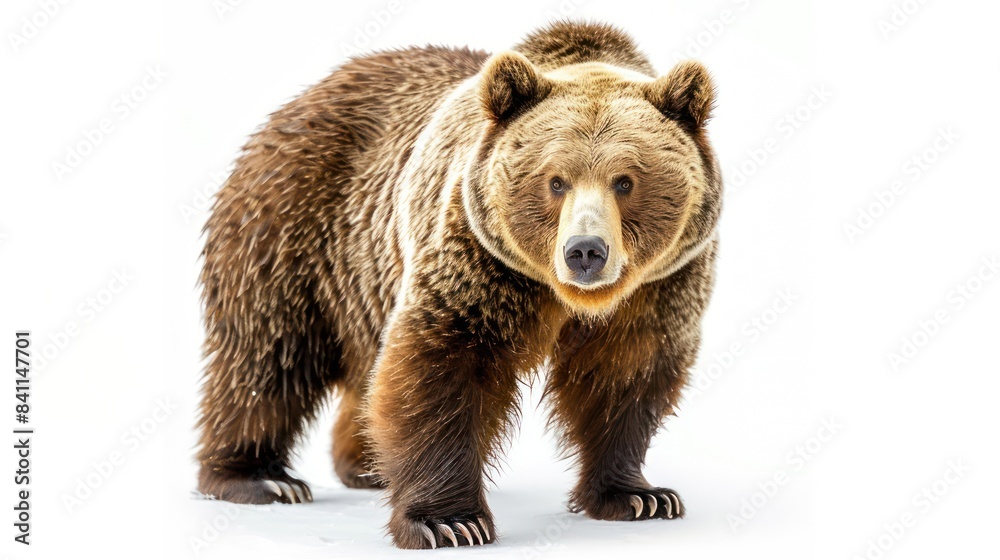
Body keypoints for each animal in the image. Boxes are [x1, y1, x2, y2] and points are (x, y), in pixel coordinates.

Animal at [196, 20, 722, 549]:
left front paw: (639, 496)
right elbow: (441, 365)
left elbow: (626, 373)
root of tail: (307, 96)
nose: (586, 252)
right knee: (267, 354)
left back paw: (365, 464)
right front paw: (448, 522)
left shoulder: (659, 284)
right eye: (555, 180)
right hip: (294, 225)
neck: (565, 295)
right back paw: (259, 478)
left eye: (625, 181)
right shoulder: (477, 257)